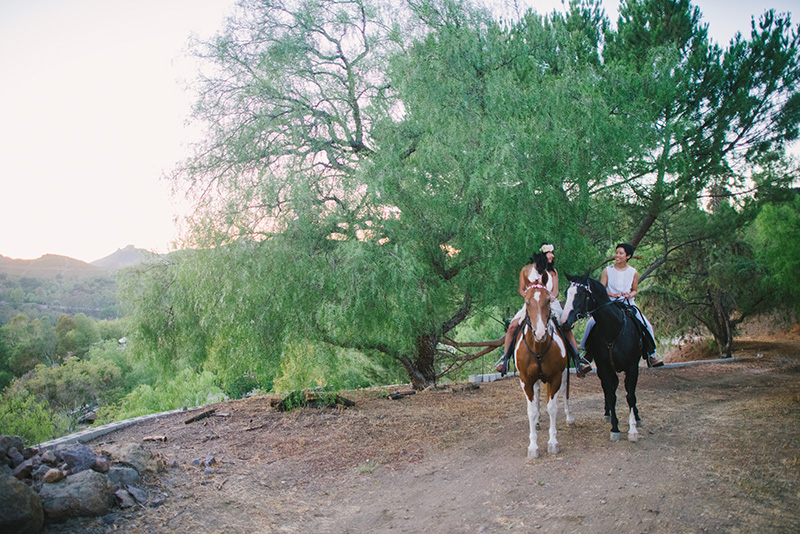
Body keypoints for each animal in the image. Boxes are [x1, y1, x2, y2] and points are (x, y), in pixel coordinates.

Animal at [516, 276, 572, 460]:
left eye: (548, 300)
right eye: (527, 302)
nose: (540, 333)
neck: (538, 347)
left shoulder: (555, 378)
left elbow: (552, 408)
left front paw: (552, 443)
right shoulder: (526, 381)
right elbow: (531, 410)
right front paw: (533, 446)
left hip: (562, 376)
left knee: (565, 391)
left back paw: (570, 417)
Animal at [560, 274, 648, 442]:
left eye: (580, 294)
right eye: (567, 293)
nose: (564, 322)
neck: (613, 330)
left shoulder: (632, 367)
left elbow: (630, 396)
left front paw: (633, 429)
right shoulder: (604, 368)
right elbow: (611, 395)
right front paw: (614, 428)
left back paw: (637, 417)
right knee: (608, 390)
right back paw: (608, 413)